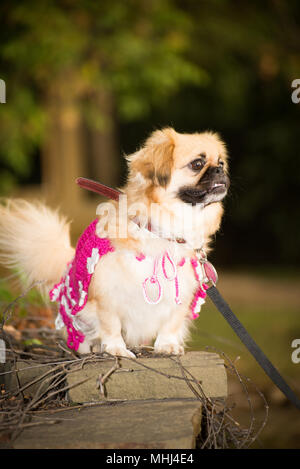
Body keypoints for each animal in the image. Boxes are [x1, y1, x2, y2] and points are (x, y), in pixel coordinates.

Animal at [0, 126, 229, 356]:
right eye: (197, 164)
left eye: (221, 163)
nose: (220, 171)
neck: (161, 231)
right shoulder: (107, 294)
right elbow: (111, 325)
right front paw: (116, 349)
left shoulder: (181, 293)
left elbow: (171, 323)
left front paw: (167, 345)